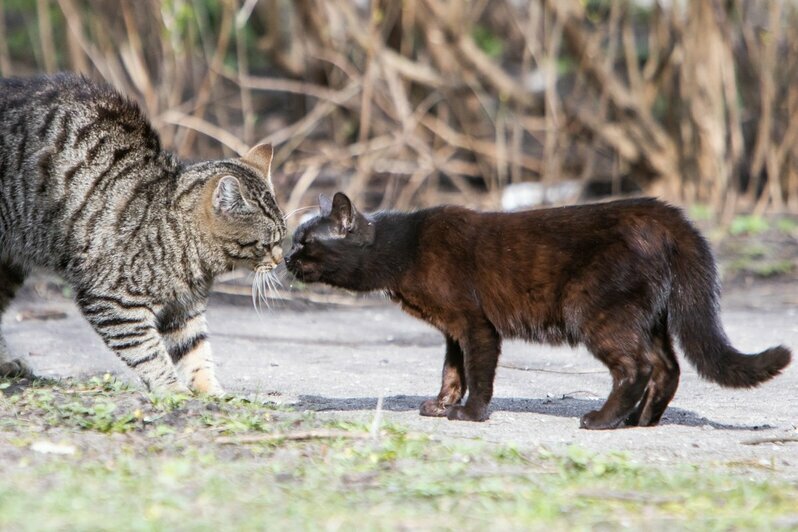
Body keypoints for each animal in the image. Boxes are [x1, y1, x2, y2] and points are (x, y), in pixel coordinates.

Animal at [0, 72, 286, 392]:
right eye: (267, 244)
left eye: (282, 238)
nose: (281, 260)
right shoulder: (112, 303)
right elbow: (148, 352)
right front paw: (172, 390)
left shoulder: (185, 309)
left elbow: (196, 353)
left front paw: (211, 392)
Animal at [284, 193, 792, 430]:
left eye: (306, 243)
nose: (286, 258)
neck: (402, 249)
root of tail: (668, 216)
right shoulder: (452, 329)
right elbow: (451, 371)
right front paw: (441, 405)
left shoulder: (476, 325)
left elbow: (478, 374)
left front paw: (470, 414)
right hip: (649, 318)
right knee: (667, 368)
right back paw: (639, 422)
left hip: (597, 313)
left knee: (637, 367)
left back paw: (601, 421)